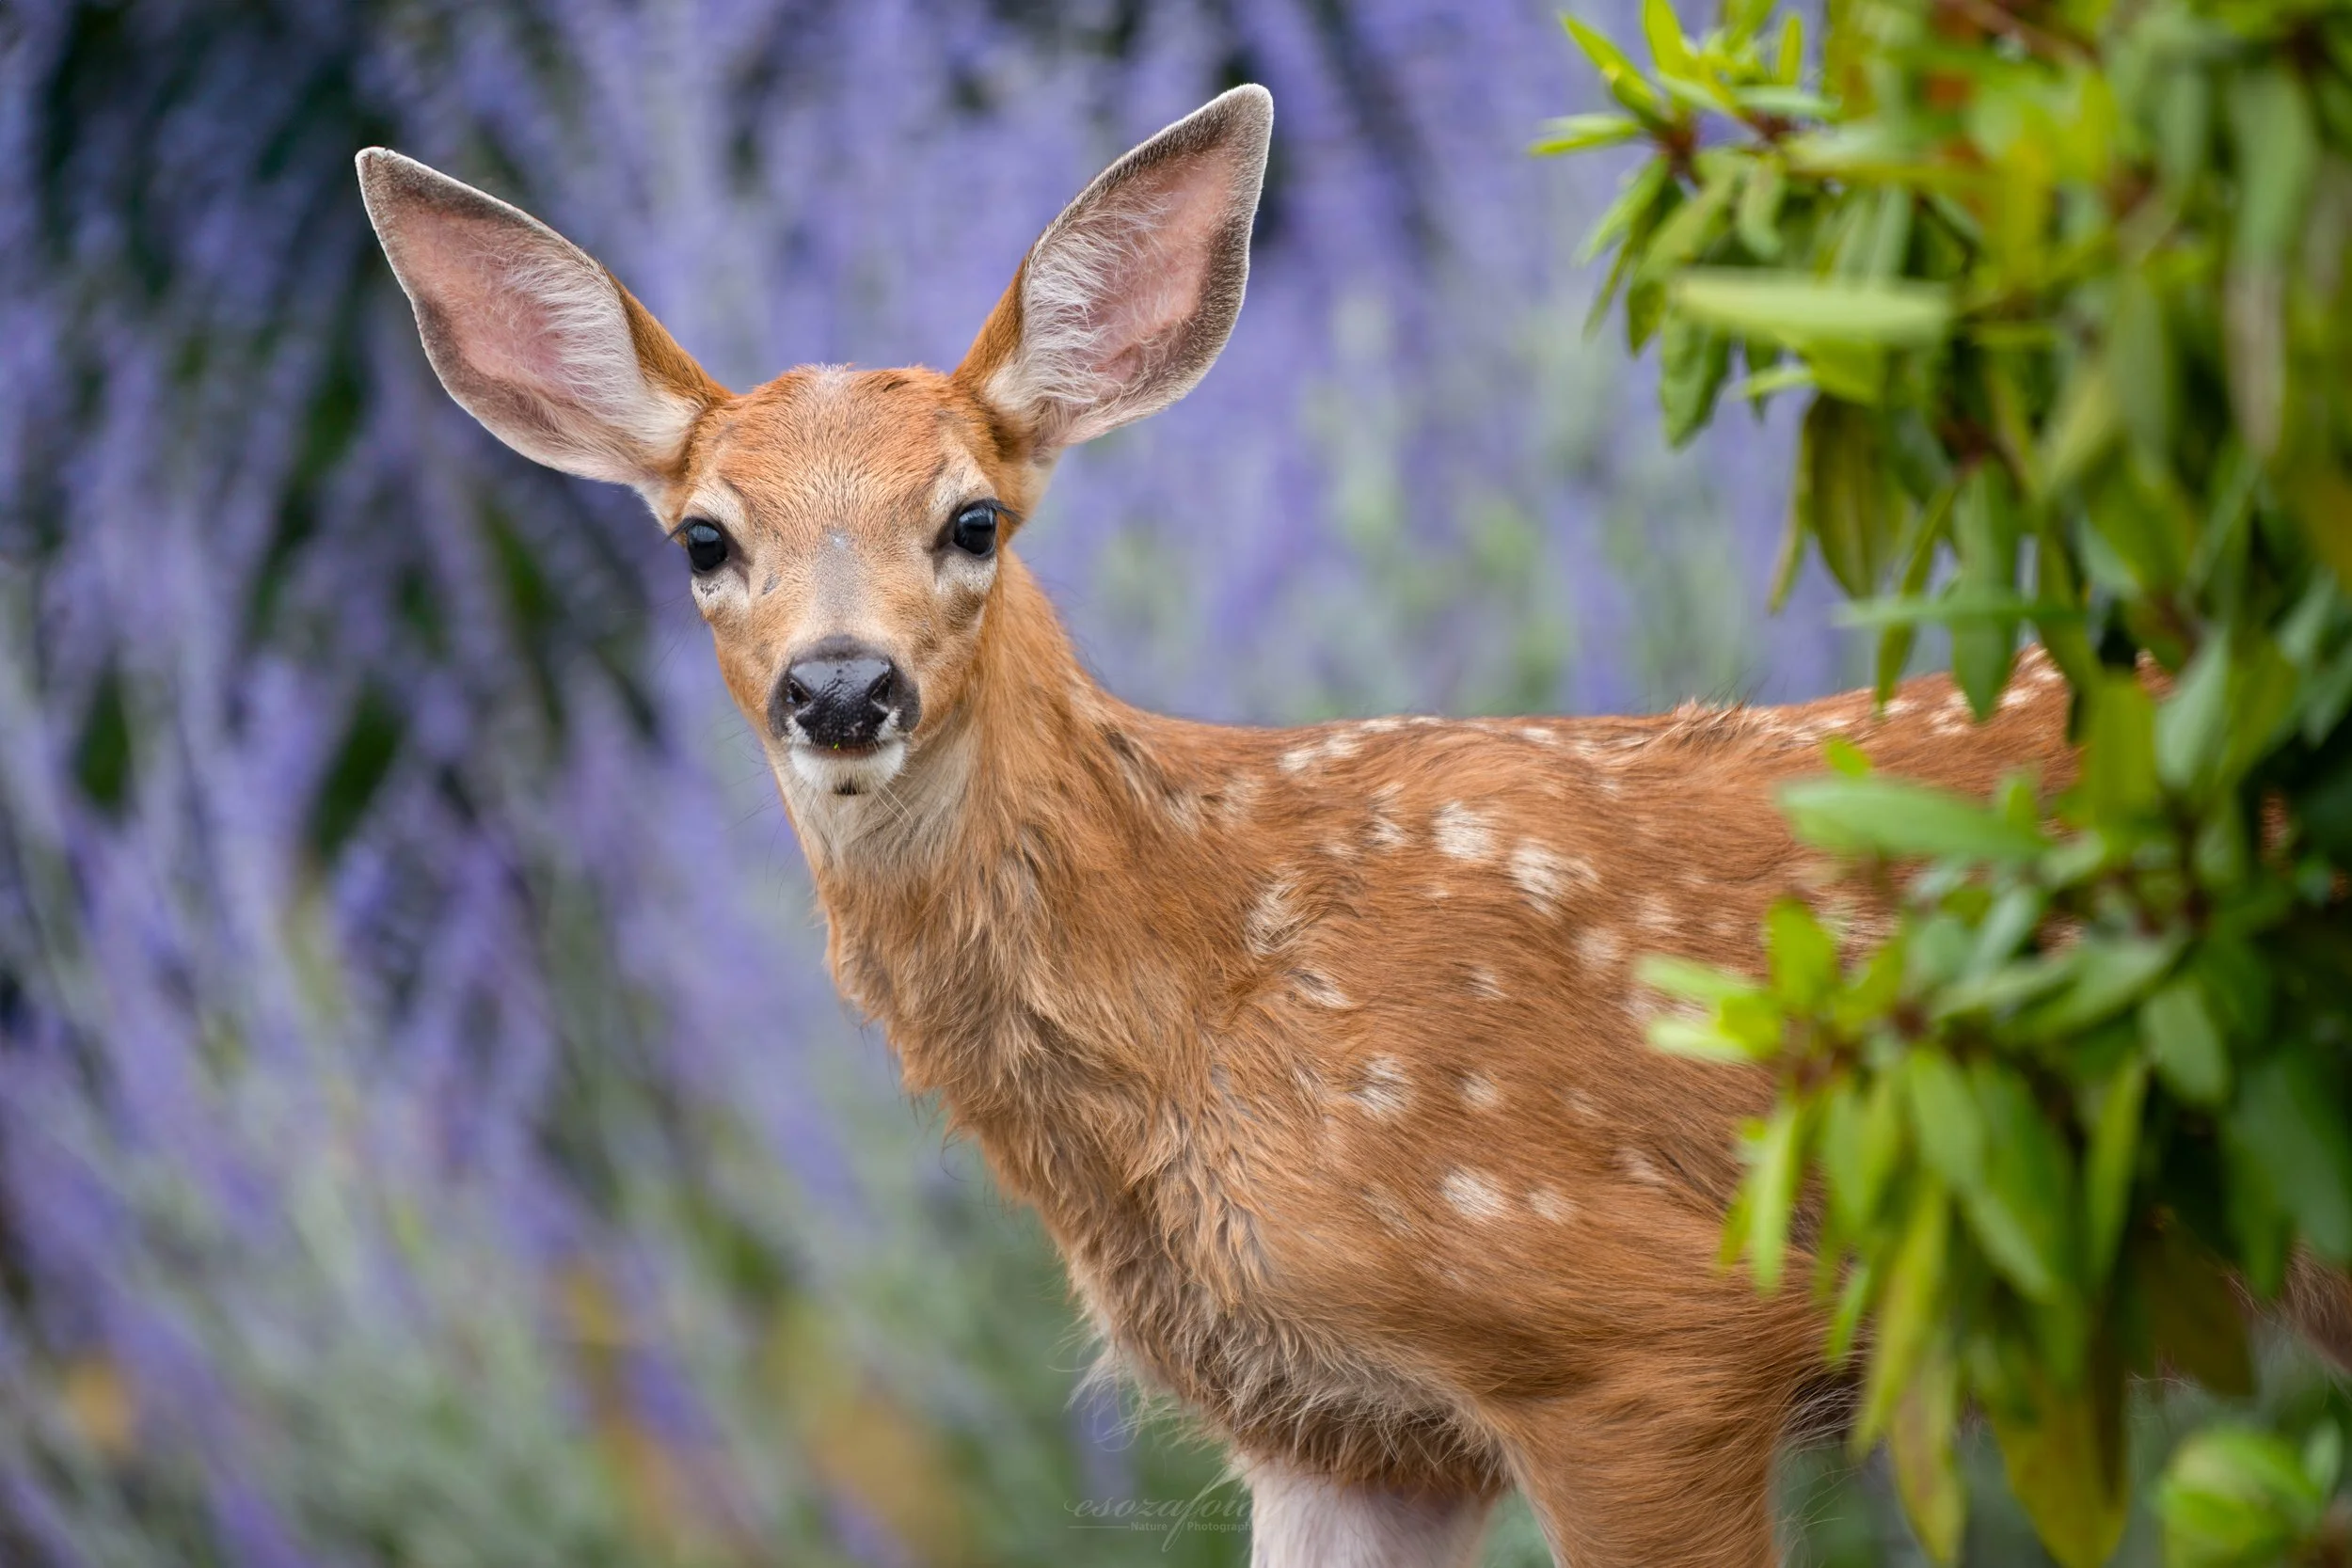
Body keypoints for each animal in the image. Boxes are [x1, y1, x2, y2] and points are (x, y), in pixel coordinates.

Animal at [356, 88, 2348, 1567]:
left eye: (973, 518)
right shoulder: (1341, 1426)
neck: (1215, 980)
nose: (842, 688)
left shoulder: (1645, 1339)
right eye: (707, 538)